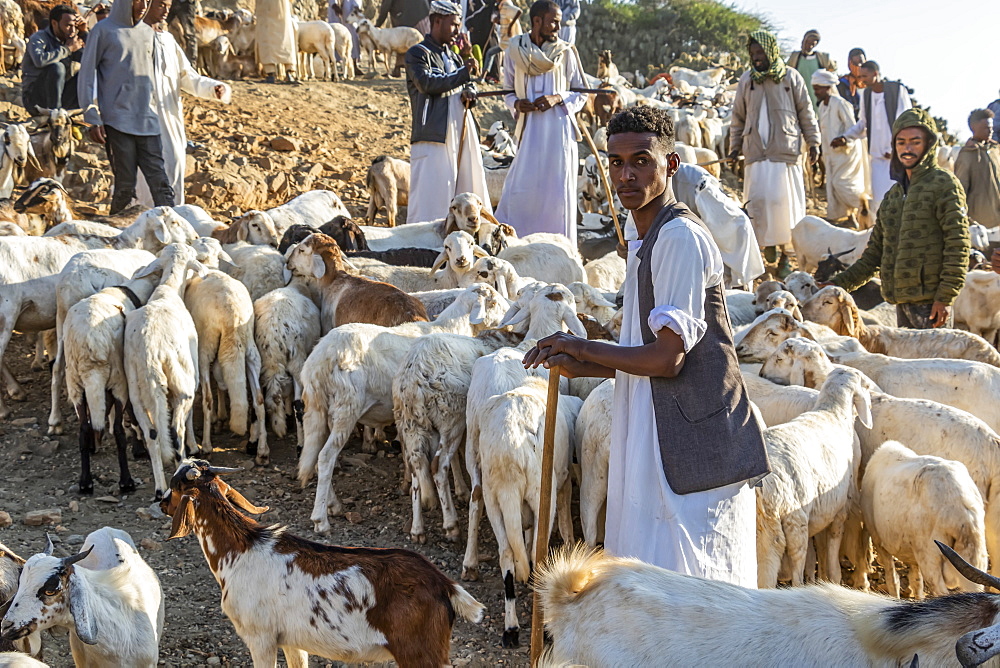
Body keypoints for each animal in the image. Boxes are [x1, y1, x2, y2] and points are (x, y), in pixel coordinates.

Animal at [161, 460, 484, 668]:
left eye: (175, 486)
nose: (161, 502)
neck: (241, 551)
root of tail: (443, 584)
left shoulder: (260, 637)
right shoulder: (291, 640)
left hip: (420, 652)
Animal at [756, 366, 868, 588]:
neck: (832, 412)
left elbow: (814, 556)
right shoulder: (840, 509)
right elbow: (832, 548)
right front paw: (833, 578)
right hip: (788, 524)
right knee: (794, 564)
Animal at [864, 440, 988, 596]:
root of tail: (960, 507)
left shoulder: (879, 541)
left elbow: (892, 579)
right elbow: (916, 582)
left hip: (929, 554)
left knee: (939, 591)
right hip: (974, 555)